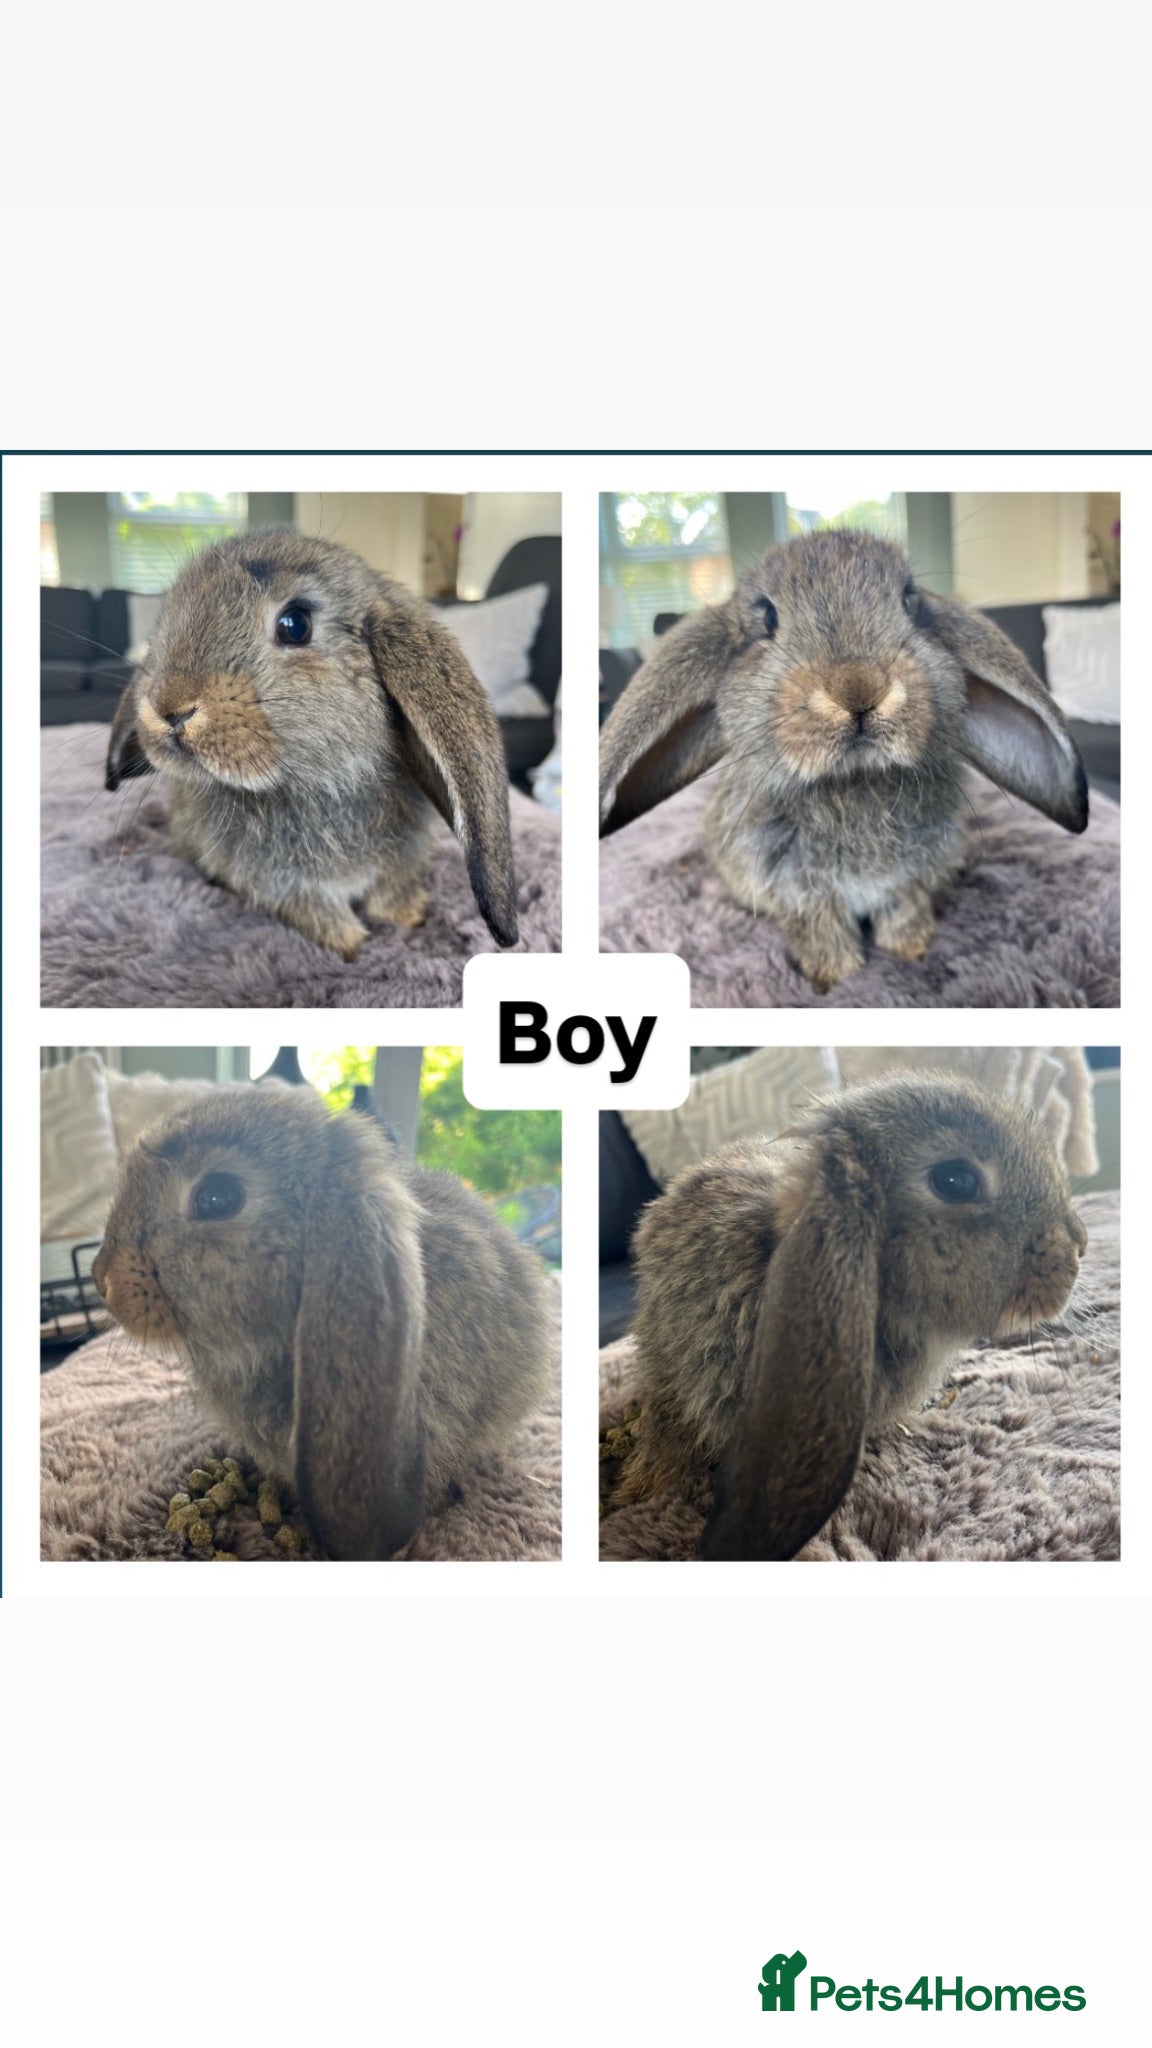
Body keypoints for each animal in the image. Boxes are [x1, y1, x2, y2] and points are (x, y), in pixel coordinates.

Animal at [104, 529, 519, 958]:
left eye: (295, 624)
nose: (168, 708)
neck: (319, 781)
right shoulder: (283, 886)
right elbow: (321, 913)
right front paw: (353, 945)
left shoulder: (399, 863)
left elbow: (390, 895)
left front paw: (409, 919)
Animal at [599, 529, 1089, 989]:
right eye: (767, 617)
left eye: (910, 601)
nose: (859, 688)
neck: (856, 779)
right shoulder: (803, 896)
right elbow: (824, 935)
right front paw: (838, 978)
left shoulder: (907, 883)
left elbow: (904, 912)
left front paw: (911, 950)